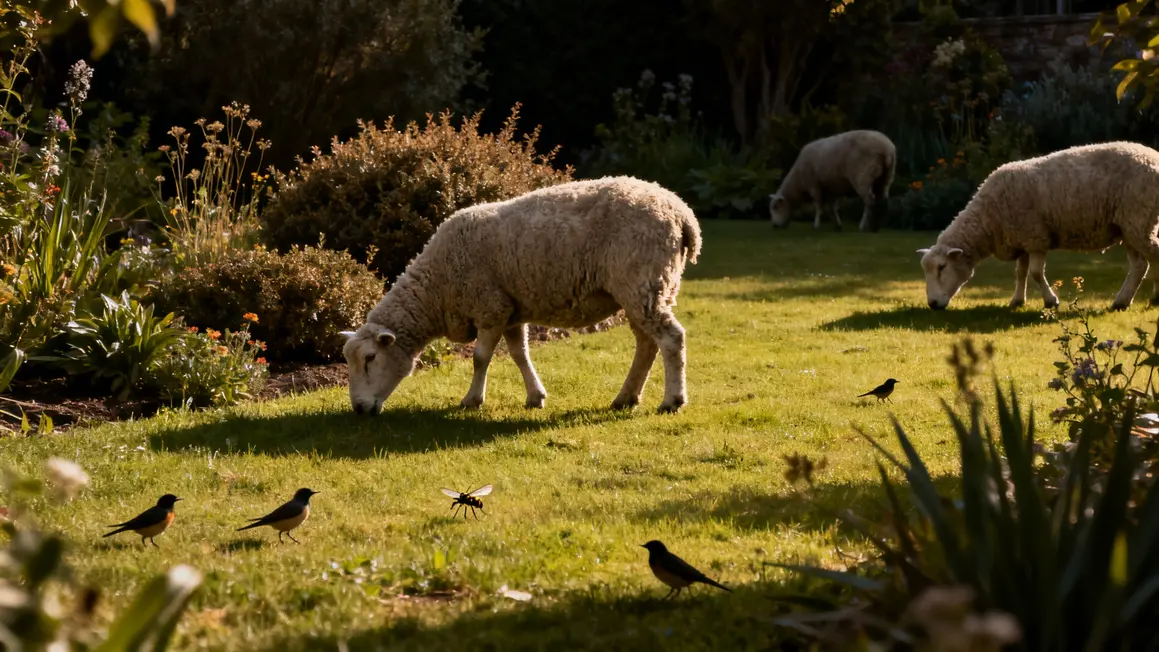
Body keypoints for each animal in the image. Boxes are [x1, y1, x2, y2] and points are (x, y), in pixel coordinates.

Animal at [340, 175, 703, 416]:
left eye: (370, 359)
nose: (359, 408)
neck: (436, 289)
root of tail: (681, 212)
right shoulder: (510, 309)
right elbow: (519, 355)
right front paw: (535, 396)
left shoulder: (489, 307)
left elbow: (480, 358)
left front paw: (472, 400)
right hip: (648, 287)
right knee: (647, 344)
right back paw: (626, 397)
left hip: (642, 281)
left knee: (671, 339)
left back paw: (672, 400)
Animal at [768, 130, 896, 232]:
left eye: (776, 207)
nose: (774, 226)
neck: (798, 182)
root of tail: (886, 148)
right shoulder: (832, 189)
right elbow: (831, 209)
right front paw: (838, 225)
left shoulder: (814, 186)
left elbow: (818, 207)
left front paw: (816, 225)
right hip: (886, 178)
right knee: (883, 200)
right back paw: (877, 226)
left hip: (862, 178)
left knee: (869, 202)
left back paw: (863, 226)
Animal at [917, 141, 1159, 312]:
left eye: (942, 267)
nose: (932, 304)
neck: (989, 217)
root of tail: (1153, 156)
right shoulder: (1021, 237)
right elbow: (1020, 272)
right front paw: (1017, 300)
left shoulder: (1035, 237)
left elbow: (1034, 272)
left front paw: (1051, 301)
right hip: (1128, 226)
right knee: (1139, 266)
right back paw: (1122, 302)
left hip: (1139, 221)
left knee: (1152, 256)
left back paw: (1153, 299)